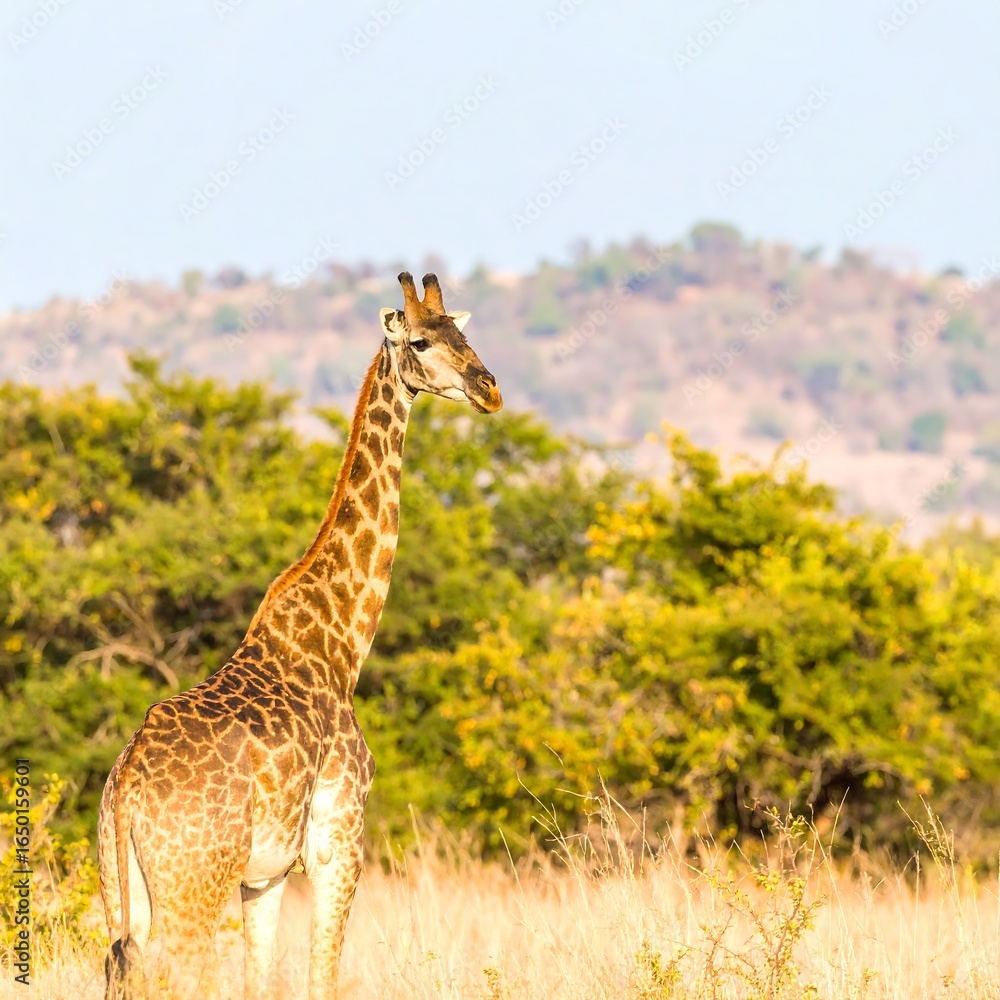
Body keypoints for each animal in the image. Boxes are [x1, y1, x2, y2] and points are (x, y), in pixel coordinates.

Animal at [97, 272, 503, 1000]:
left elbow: (264, 979)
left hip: (124, 896)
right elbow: (322, 976)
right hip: (192, 892)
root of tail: (128, 787)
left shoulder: (264, 876)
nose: (490, 389)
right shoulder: (339, 841)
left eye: (463, 332)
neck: (340, 642)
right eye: (422, 342)